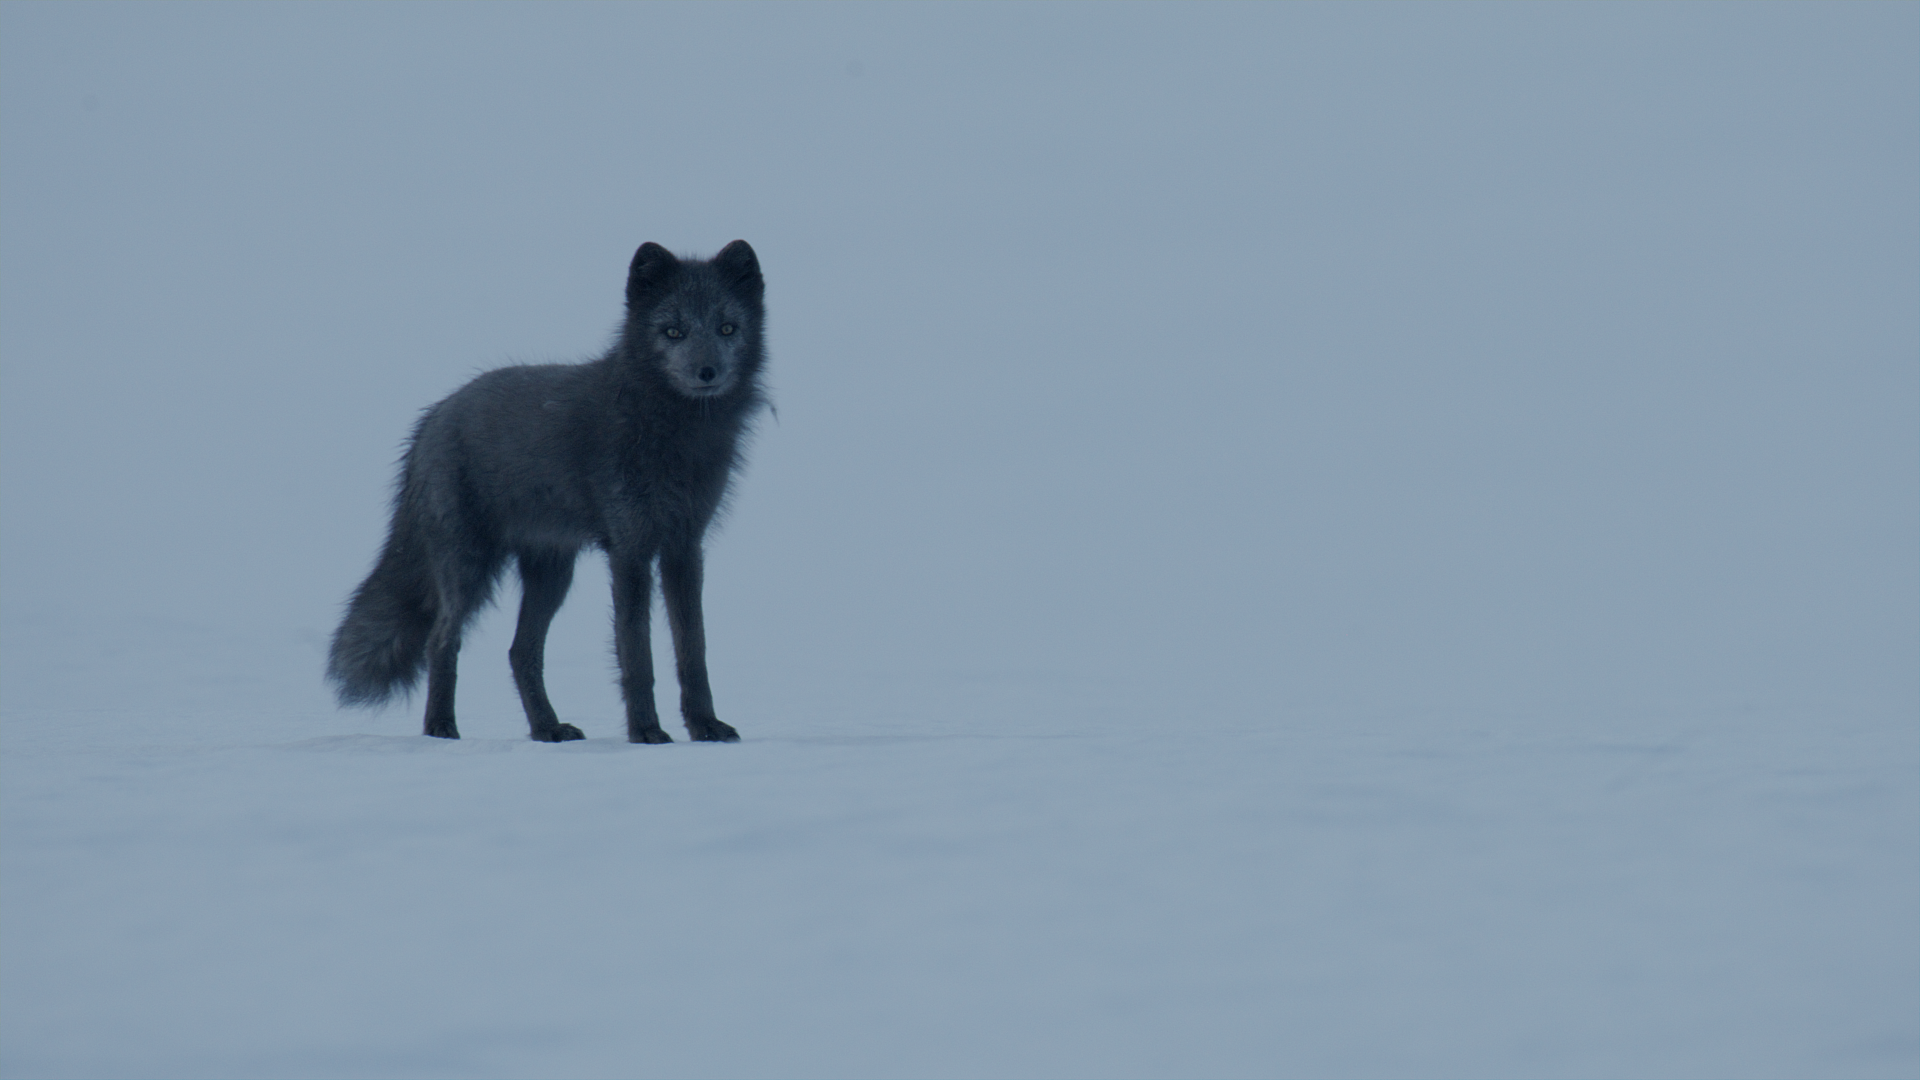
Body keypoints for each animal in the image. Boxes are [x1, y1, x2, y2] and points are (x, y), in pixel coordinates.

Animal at [326, 240, 766, 743]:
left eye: (727, 327)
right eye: (673, 331)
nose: (706, 371)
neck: (672, 432)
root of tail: (431, 418)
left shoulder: (684, 547)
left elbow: (693, 651)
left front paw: (705, 725)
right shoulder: (631, 549)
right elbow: (637, 654)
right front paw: (646, 732)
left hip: (553, 573)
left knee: (520, 651)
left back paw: (546, 728)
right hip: (469, 566)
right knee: (442, 639)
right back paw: (441, 729)